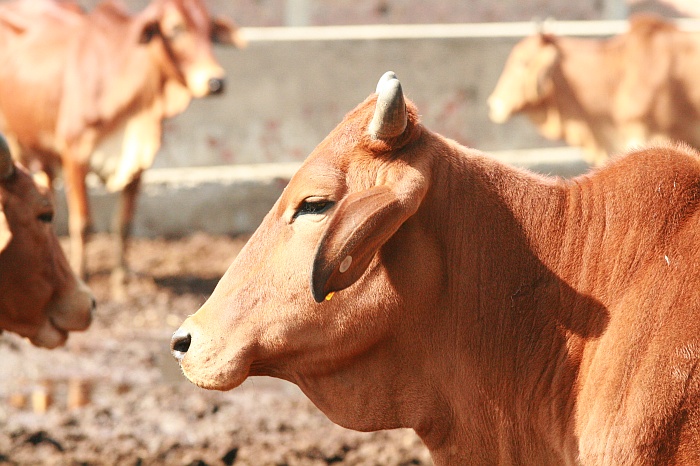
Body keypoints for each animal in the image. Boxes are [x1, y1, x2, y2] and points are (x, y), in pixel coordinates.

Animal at [0, 0, 246, 293]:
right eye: (175, 29)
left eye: (210, 31)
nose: (216, 82)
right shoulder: (75, 155)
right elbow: (83, 223)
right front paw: (81, 274)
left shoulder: (138, 164)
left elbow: (124, 222)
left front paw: (122, 279)